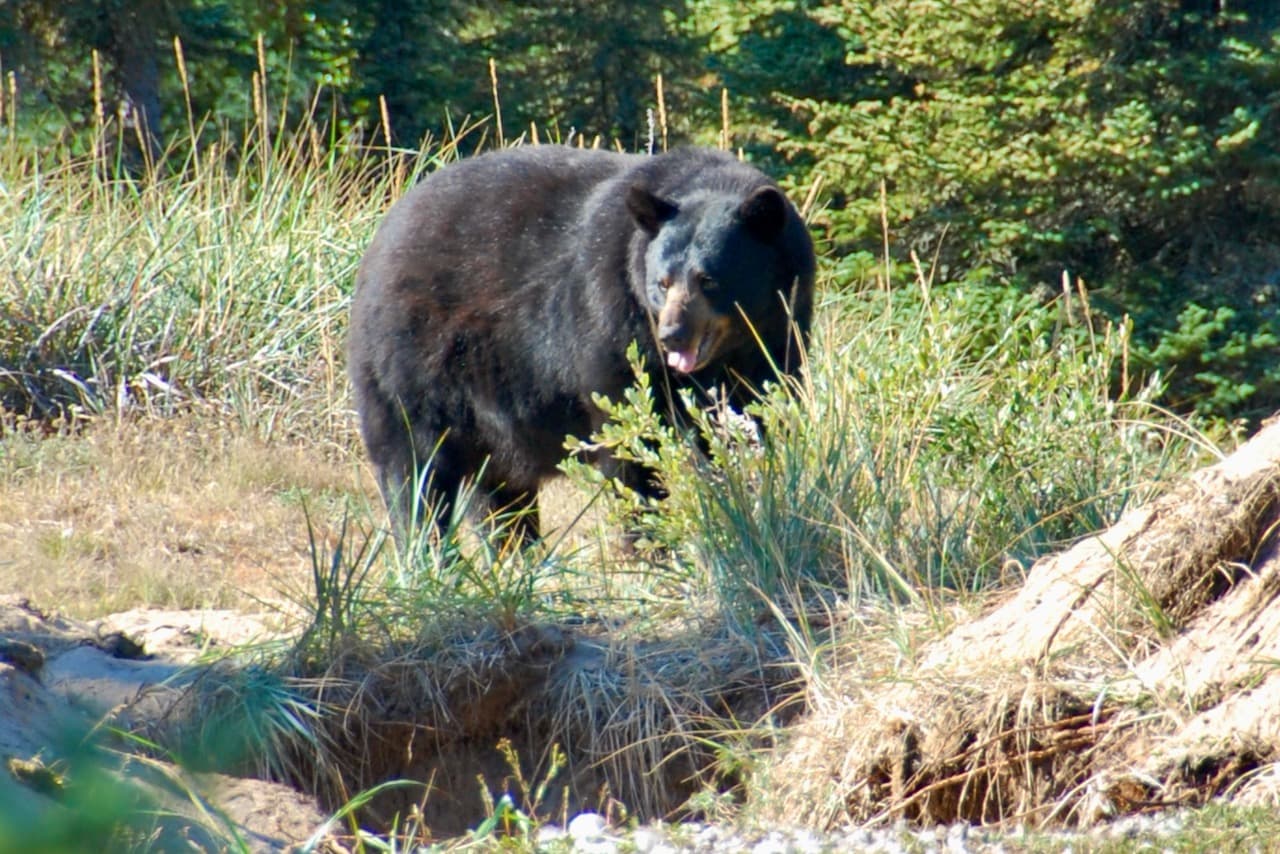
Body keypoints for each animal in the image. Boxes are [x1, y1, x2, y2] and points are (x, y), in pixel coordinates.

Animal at [348, 144, 816, 545]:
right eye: (661, 283)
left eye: (708, 280)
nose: (671, 335)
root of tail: (381, 237)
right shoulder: (611, 322)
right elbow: (631, 441)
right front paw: (651, 539)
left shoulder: (780, 337)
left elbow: (763, 414)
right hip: (409, 365)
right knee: (414, 472)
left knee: (497, 493)